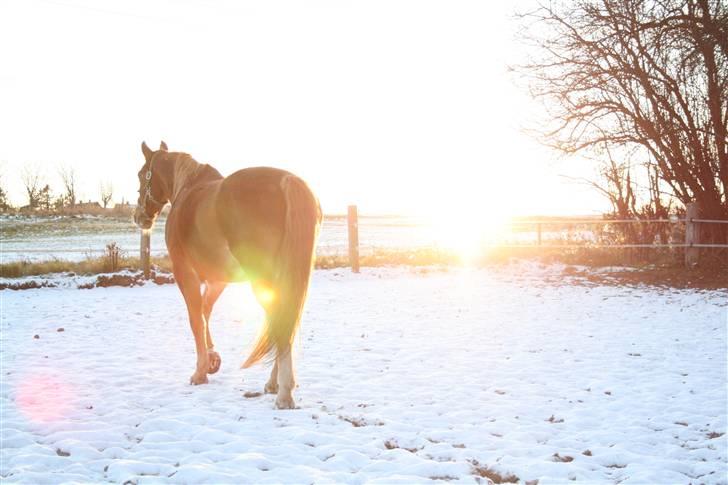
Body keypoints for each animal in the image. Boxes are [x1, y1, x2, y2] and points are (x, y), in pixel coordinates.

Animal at [134, 141, 322, 408]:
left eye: (141, 174)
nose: (139, 216)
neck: (187, 189)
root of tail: (288, 181)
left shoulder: (185, 273)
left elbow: (196, 320)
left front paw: (200, 372)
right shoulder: (217, 280)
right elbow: (205, 311)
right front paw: (212, 359)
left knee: (279, 321)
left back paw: (284, 392)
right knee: (282, 322)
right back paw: (274, 384)